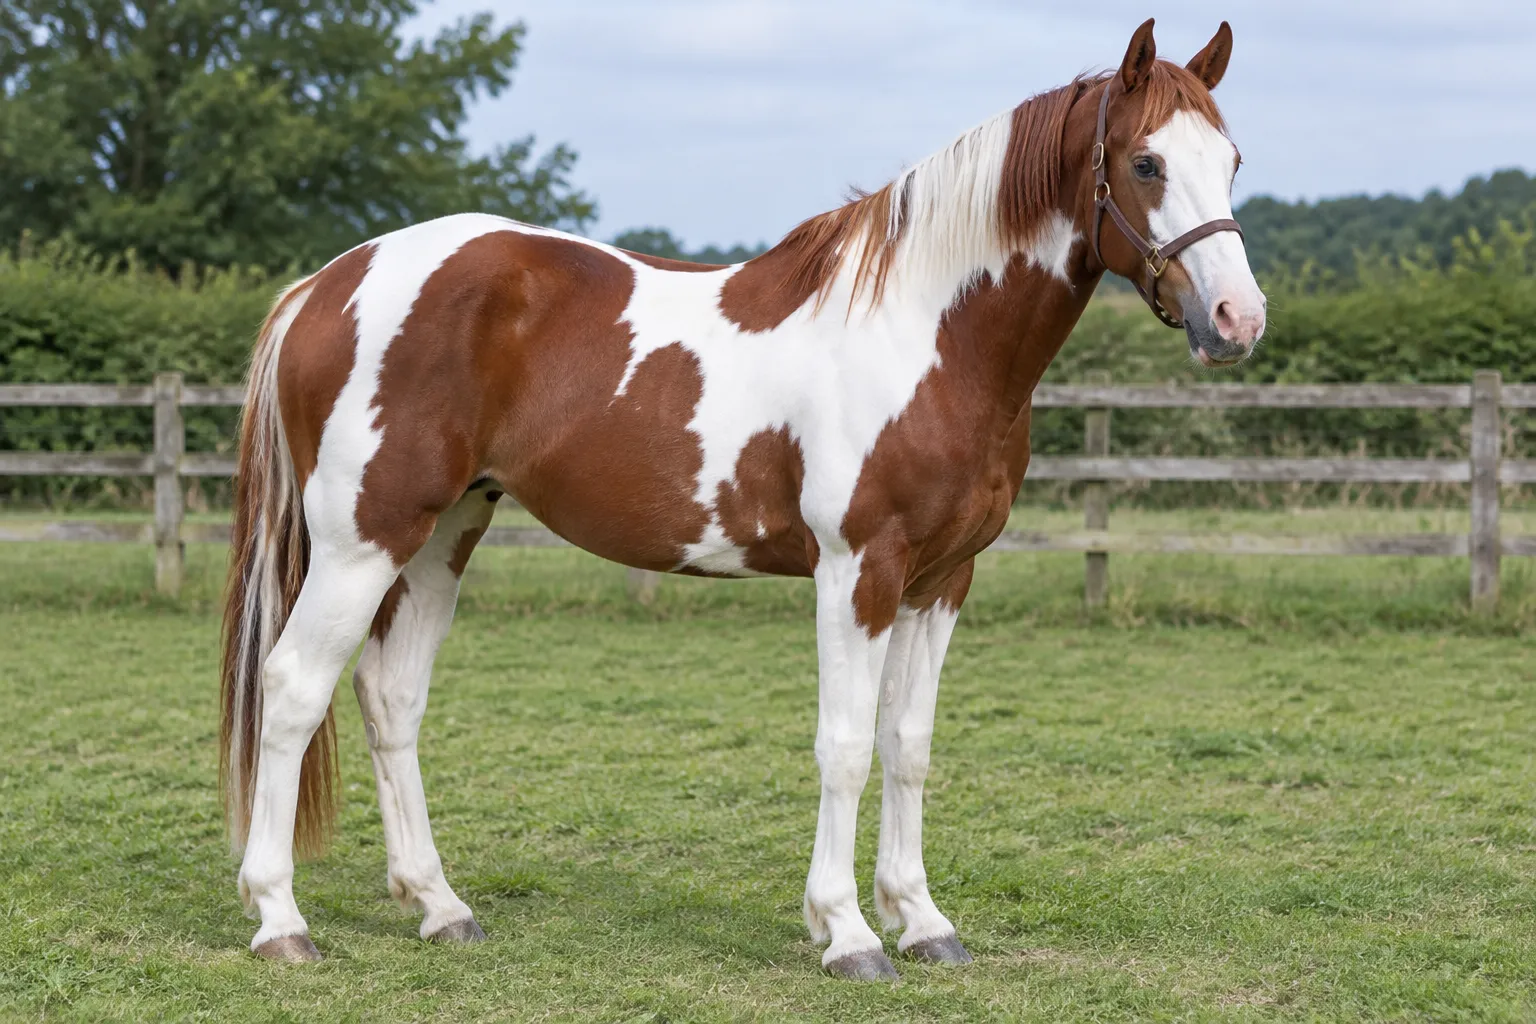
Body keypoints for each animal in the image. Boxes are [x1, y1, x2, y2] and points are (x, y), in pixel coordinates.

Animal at [219, 18, 1265, 980]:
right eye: (1145, 161)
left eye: (1233, 160)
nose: (1237, 320)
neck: (928, 338)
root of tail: (328, 282)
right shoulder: (858, 571)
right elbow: (845, 744)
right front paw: (848, 933)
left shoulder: (941, 581)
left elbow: (908, 744)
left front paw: (923, 922)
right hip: (362, 539)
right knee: (293, 687)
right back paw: (280, 920)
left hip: (443, 534)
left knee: (390, 697)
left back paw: (440, 906)